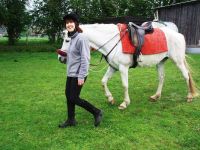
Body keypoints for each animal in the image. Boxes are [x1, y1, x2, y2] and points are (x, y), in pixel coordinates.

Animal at [58, 22, 198, 109]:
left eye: (68, 40)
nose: (61, 58)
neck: (114, 41)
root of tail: (179, 35)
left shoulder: (123, 68)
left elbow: (125, 85)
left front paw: (124, 103)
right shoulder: (113, 67)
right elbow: (103, 81)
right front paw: (110, 99)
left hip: (178, 61)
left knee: (186, 76)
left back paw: (189, 97)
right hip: (160, 62)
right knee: (162, 78)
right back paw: (156, 96)